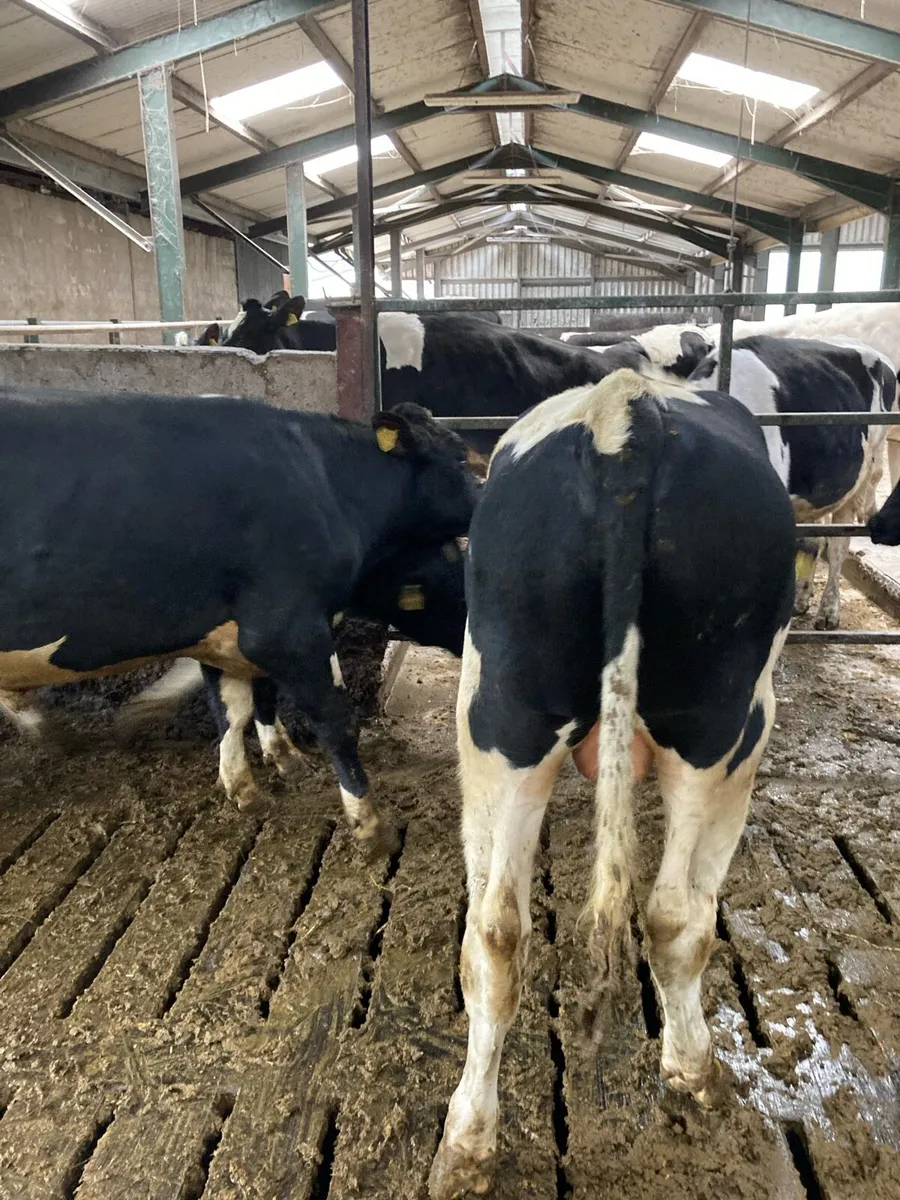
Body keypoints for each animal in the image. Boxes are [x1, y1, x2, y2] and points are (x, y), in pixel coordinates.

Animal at [0, 388, 477, 852]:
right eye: (459, 458)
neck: (327, 483)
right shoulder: (287, 629)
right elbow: (336, 722)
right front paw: (370, 826)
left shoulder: (226, 636)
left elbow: (234, 709)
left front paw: (250, 783)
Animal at [428, 368, 796, 1200]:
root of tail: (624, 415)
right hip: (724, 727)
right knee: (675, 915)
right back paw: (694, 1073)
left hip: (503, 722)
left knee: (495, 932)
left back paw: (467, 1143)